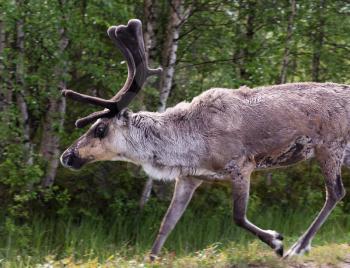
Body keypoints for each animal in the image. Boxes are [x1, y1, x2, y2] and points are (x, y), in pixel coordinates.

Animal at [60, 19, 350, 260]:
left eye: (99, 128)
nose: (67, 156)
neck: (187, 146)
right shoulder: (189, 177)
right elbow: (166, 225)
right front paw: (149, 259)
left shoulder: (242, 165)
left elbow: (238, 216)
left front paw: (277, 242)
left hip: (330, 147)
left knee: (335, 192)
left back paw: (298, 246)